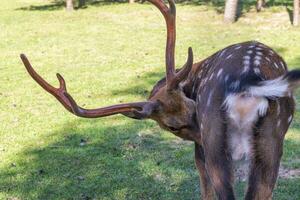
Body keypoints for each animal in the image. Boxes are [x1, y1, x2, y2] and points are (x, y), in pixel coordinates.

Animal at [20, 0, 300, 200]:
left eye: (193, 105)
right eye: (172, 126)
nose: (198, 134)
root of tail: (249, 79)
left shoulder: (201, 150)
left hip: (217, 141)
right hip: (269, 139)